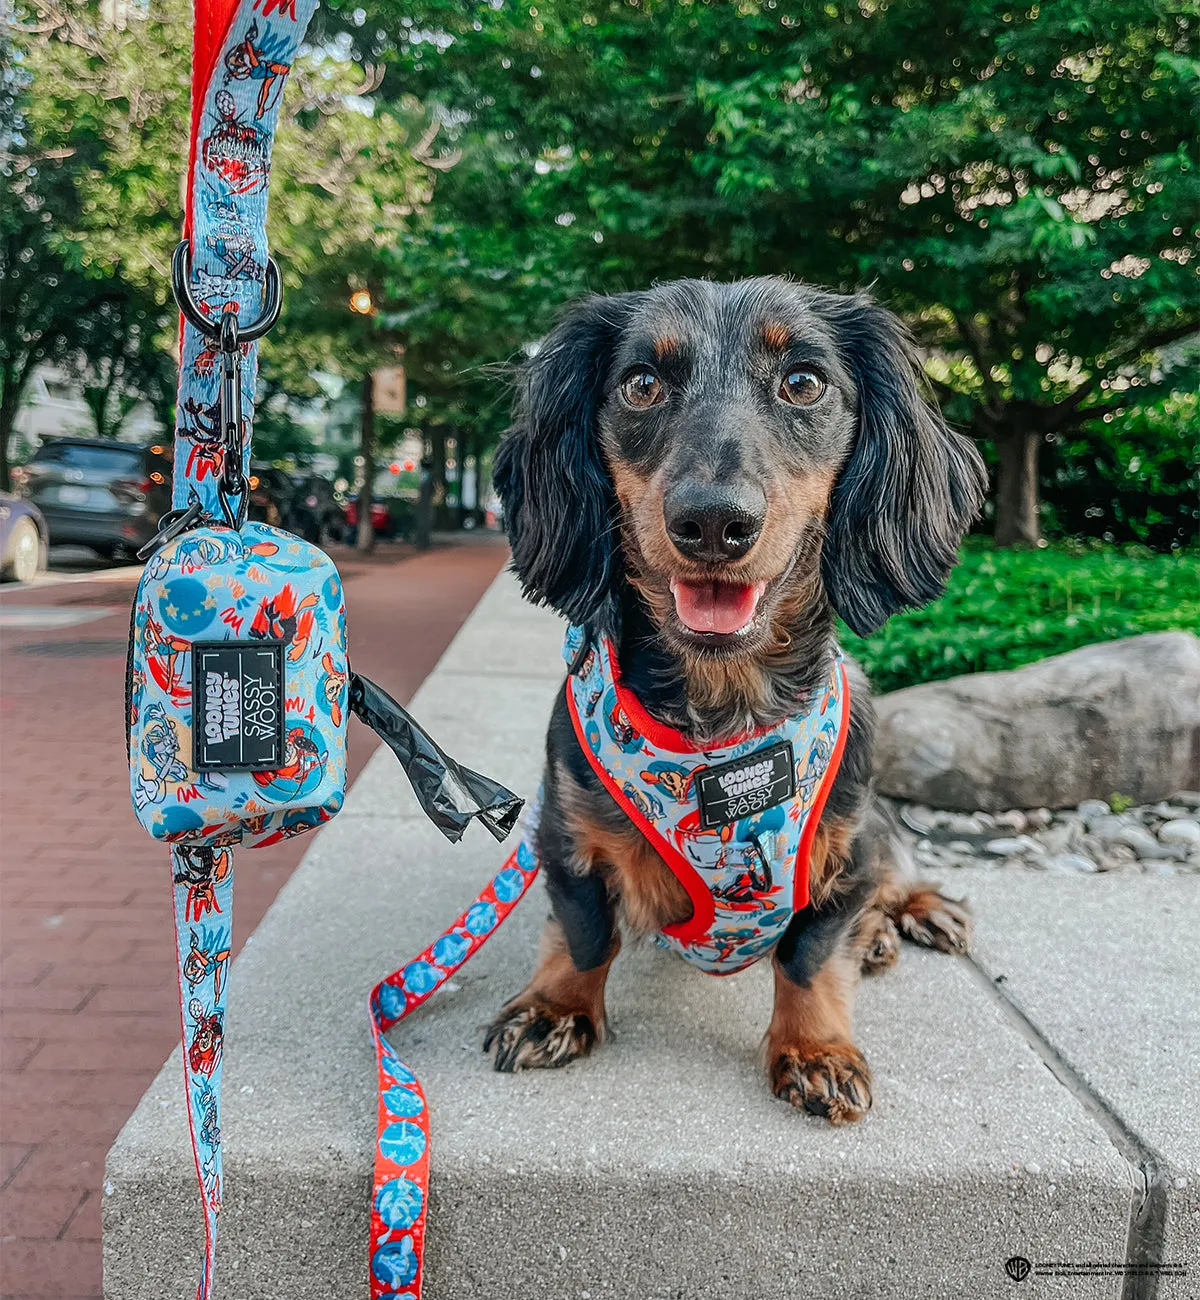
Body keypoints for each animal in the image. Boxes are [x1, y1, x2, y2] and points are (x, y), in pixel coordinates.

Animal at [483, 279, 988, 1123]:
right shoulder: (564, 837)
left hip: (876, 823)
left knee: (892, 868)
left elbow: (810, 956)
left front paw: (815, 1050)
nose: (714, 521)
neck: (724, 720)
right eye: (642, 384)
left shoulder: (844, 852)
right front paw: (557, 1008)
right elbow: (585, 933)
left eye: (804, 382)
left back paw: (912, 912)